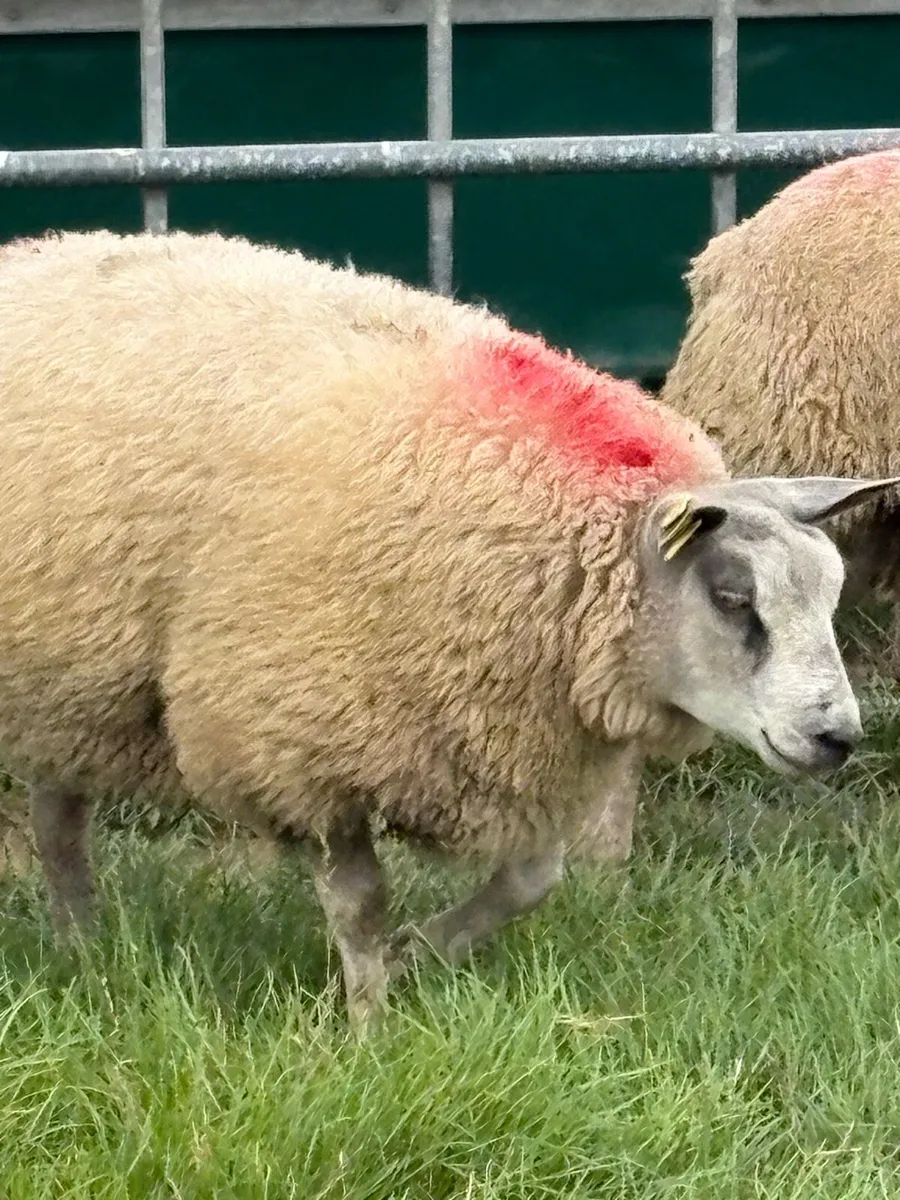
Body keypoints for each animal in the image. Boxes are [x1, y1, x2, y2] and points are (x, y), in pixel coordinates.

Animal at [0, 228, 895, 1028]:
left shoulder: (510, 737)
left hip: (71, 672)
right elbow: (361, 904)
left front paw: (418, 955)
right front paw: (368, 1022)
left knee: (57, 815)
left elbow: (533, 879)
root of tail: (36, 249)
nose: (838, 737)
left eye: (829, 593)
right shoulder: (304, 737)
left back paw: (84, 946)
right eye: (734, 597)